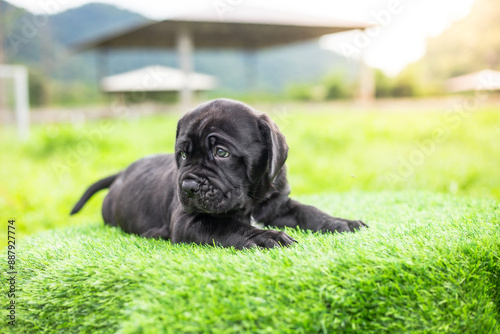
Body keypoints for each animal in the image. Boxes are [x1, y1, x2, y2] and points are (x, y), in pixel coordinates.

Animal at [70, 98, 366, 248]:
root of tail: (121, 173)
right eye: (183, 155)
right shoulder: (188, 221)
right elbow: (229, 226)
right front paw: (266, 237)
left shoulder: (279, 206)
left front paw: (340, 222)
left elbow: (309, 211)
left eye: (222, 152)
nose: (188, 186)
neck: (252, 200)